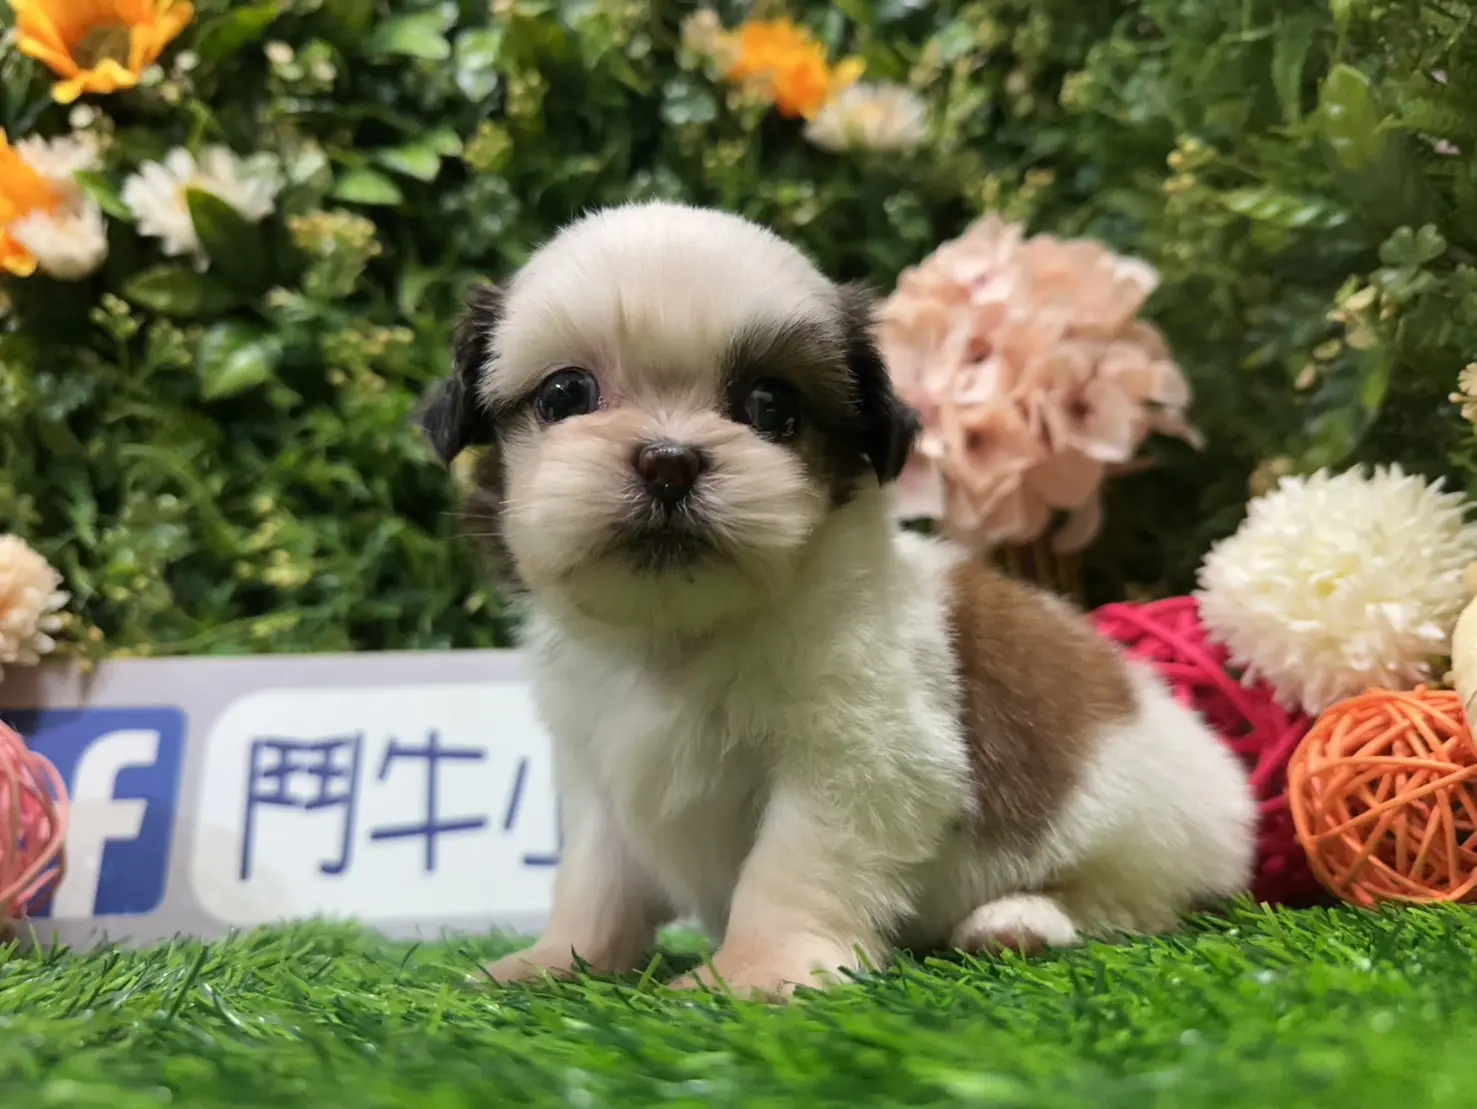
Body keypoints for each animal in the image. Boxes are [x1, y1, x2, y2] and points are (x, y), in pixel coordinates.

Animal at [418, 201, 1257, 999]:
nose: (669, 460)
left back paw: (1018, 919)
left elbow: (794, 859)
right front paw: (559, 960)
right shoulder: (598, 766)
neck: (679, 633)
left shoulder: (860, 753)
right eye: (566, 392)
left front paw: (756, 971)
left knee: (1123, 905)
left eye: (771, 406)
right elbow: (595, 876)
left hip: (1150, 835)